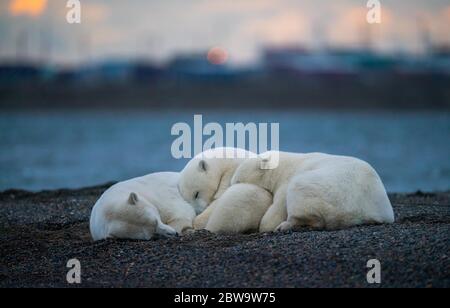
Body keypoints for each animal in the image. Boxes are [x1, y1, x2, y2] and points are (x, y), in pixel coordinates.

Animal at [232, 152, 394, 231]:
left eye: (237, 181)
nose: (231, 185)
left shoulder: (285, 179)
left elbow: (277, 206)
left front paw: (268, 225)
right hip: (379, 206)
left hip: (325, 191)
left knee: (299, 191)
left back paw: (285, 225)